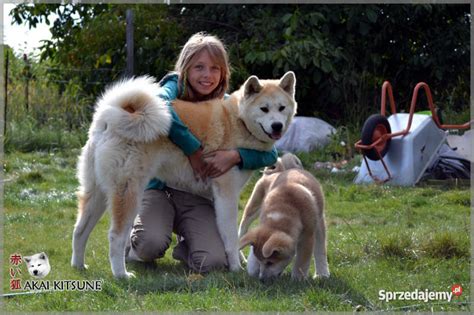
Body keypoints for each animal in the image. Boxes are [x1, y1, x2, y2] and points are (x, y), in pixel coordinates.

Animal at [70, 72, 296, 278]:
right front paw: (235, 268)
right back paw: (121, 274)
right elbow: (231, 236)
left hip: (97, 193)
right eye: (264, 108)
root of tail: (109, 117)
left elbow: (235, 235)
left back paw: (79, 265)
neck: (238, 121)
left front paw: (241, 261)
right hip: (128, 193)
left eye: (281, 108)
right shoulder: (227, 194)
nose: (277, 125)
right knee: (116, 237)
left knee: (80, 230)